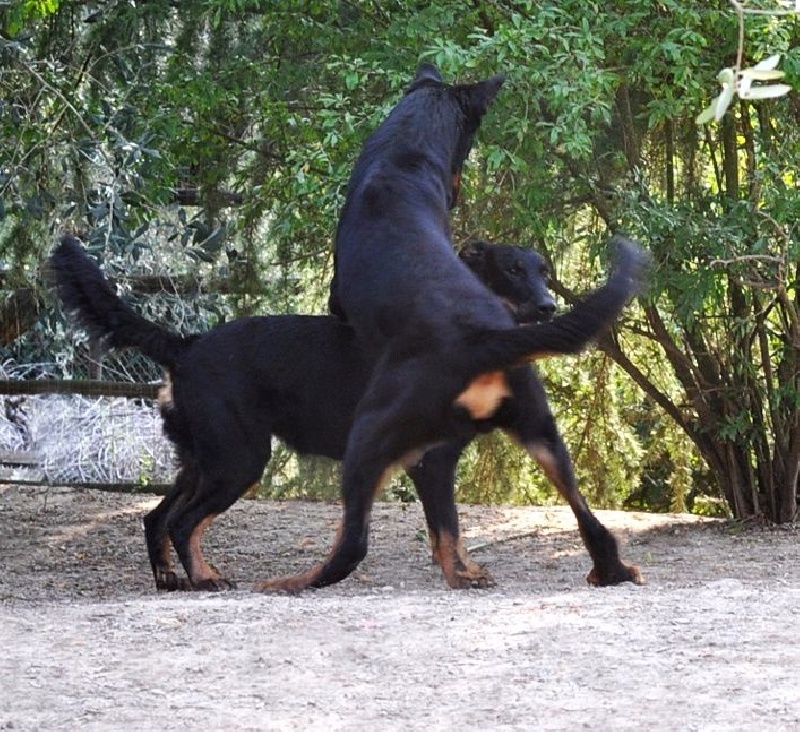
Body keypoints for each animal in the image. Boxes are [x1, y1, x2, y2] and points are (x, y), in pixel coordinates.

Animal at [51, 237, 556, 592]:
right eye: (512, 269)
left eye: (544, 272)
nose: (550, 306)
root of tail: (185, 345)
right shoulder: (430, 461)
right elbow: (447, 528)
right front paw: (460, 578)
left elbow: (448, 529)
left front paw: (465, 570)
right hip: (238, 459)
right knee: (181, 522)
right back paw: (205, 578)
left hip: (203, 459)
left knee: (156, 518)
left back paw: (169, 579)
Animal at [262, 64, 648, 596]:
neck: (403, 157)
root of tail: (486, 338)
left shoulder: (338, 294)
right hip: (542, 436)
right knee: (590, 519)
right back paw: (610, 571)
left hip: (374, 434)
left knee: (352, 543)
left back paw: (296, 580)